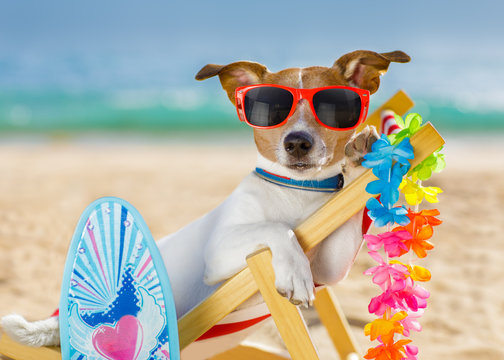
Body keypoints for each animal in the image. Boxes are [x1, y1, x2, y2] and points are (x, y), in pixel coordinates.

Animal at [0, 49, 410, 358]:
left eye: (334, 107)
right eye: (270, 108)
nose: (297, 142)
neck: (297, 191)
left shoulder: (331, 265)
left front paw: (359, 158)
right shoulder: (220, 252)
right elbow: (277, 228)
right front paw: (293, 270)